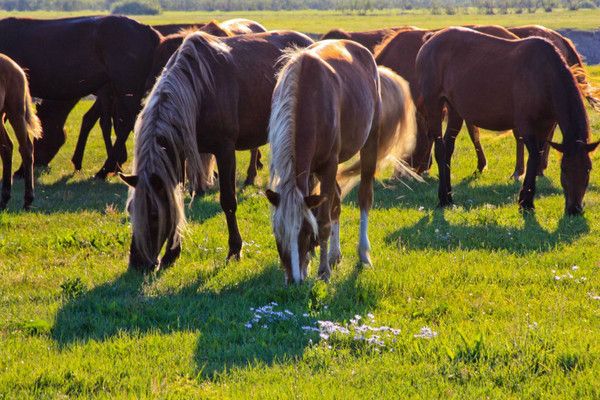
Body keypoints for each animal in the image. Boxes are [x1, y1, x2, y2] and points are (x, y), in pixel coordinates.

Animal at [118, 31, 314, 272]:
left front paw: (235, 249)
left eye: (154, 214)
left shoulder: (225, 151)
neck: (199, 92)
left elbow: (228, 202)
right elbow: (176, 195)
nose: (137, 263)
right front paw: (172, 254)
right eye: (131, 209)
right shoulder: (180, 152)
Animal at [266, 40, 418, 284]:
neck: (307, 98)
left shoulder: (329, 166)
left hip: (369, 145)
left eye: (305, 232)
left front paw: (323, 271)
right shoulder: (310, 171)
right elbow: (324, 209)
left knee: (364, 197)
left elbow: (323, 221)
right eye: (278, 233)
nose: (294, 281)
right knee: (336, 201)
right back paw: (334, 255)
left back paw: (363, 254)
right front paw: (314, 263)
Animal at [414, 27, 596, 216]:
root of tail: (430, 40)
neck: (544, 74)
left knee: (448, 149)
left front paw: (526, 199)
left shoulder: (545, 125)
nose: (574, 209)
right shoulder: (526, 125)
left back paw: (449, 197)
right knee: (440, 149)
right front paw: (525, 202)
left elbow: (538, 155)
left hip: (454, 109)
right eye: (564, 170)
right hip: (434, 105)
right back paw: (443, 198)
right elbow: (534, 156)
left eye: (588, 169)